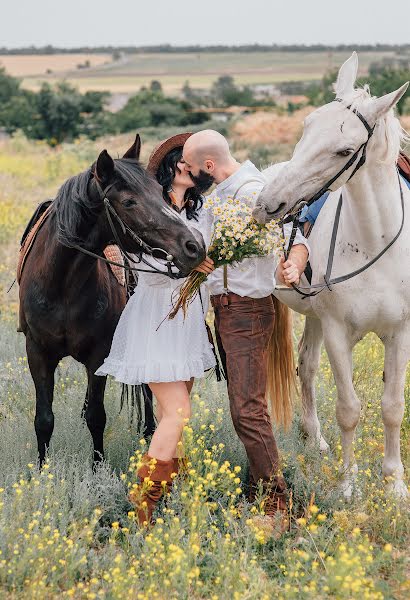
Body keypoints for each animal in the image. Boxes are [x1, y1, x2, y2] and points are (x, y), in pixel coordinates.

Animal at [18, 135, 205, 464]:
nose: (193, 247)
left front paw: (97, 467)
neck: (61, 285)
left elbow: (97, 417)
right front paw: (42, 469)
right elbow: (44, 419)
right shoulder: (37, 352)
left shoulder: (98, 354)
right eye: (129, 201)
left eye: (160, 193)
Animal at [255, 51, 408, 500]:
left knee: (305, 366)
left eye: (343, 151)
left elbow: (392, 407)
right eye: (306, 126)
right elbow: (349, 409)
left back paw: (315, 438)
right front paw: (348, 484)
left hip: (315, 317)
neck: (374, 242)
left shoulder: (400, 333)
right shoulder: (340, 332)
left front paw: (394, 484)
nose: (268, 203)